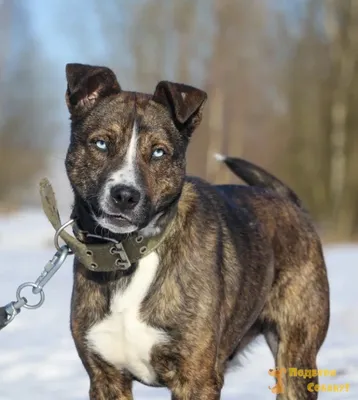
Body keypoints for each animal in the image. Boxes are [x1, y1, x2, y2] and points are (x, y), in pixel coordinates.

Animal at [64, 64, 330, 398]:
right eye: (101, 143)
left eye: (159, 153)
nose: (125, 195)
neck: (129, 252)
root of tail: (288, 201)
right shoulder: (105, 378)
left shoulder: (197, 377)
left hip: (296, 355)